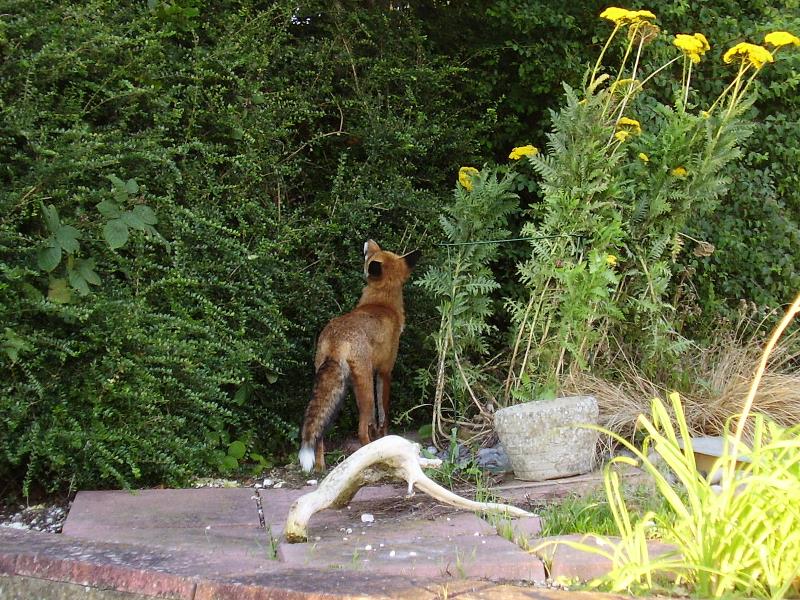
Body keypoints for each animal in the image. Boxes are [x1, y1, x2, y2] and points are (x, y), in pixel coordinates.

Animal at [298, 239, 422, 474]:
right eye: (369, 254)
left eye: (376, 250)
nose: (369, 241)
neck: (382, 303)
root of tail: (336, 337)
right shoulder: (384, 371)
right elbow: (383, 415)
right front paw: (384, 438)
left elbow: (376, 419)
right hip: (363, 387)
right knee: (361, 429)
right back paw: (372, 456)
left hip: (336, 381)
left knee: (319, 434)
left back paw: (320, 466)